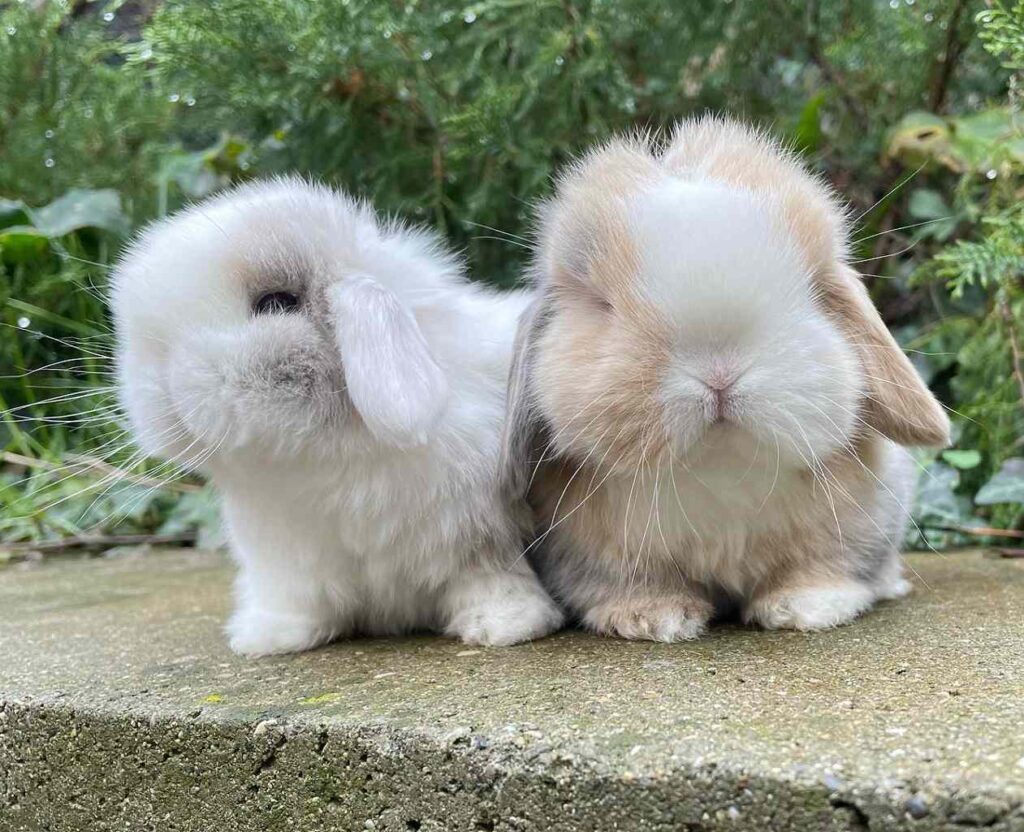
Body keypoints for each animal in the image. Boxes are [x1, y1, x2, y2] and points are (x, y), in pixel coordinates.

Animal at [112, 178, 563, 656]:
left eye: (275, 303)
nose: (160, 385)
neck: (322, 459)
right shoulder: (288, 566)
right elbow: (298, 602)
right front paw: (267, 637)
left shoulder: (480, 537)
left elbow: (491, 578)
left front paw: (508, 625)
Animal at [501, 116, 950, 642]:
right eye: (602, 304)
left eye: (808, 289)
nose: (718, 373)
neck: (720, 470)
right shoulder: (592, 552)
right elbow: (624, 583)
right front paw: (652, 617)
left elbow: (825, 566)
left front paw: (806, 606)